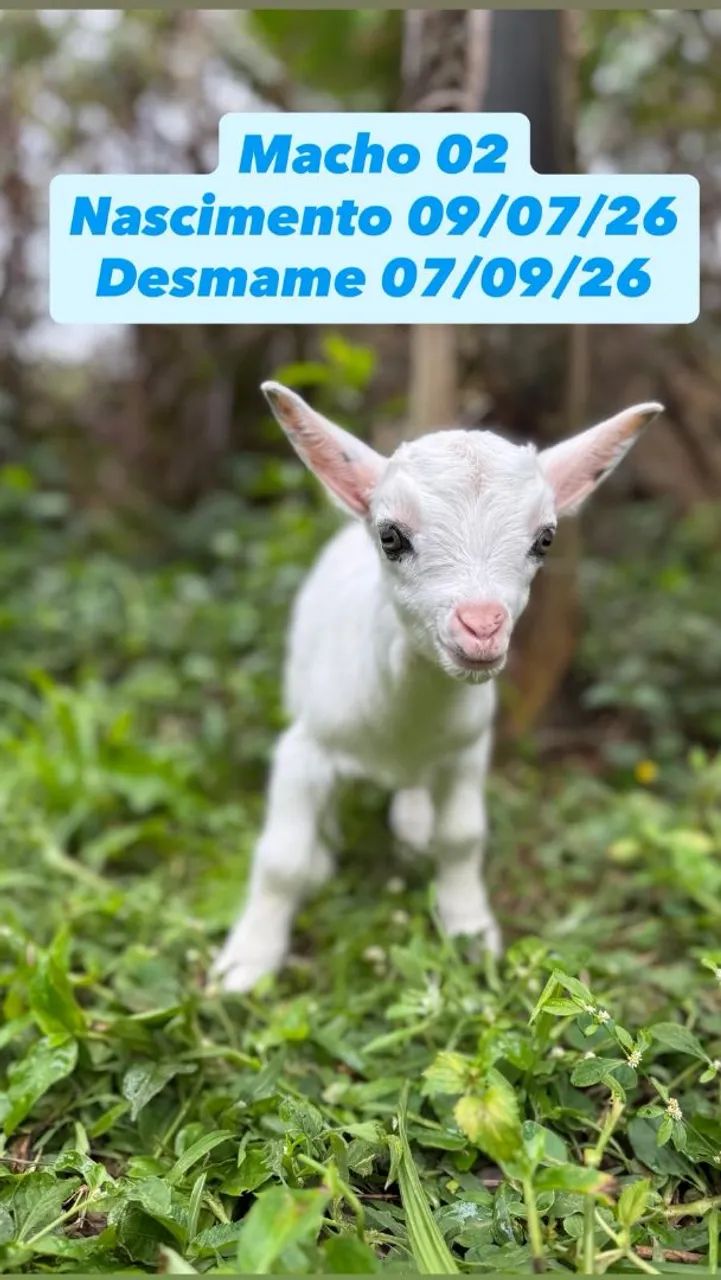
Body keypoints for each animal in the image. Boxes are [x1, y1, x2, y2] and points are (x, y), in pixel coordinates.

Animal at [214, 383, 662, 991]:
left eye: (545, 540)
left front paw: (470, 932)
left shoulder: (468, 751)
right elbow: (281, 858)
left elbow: (463, 837)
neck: (407, 719)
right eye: (391, 536)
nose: (481, 627)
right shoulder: (305, 747)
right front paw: (246, 964)